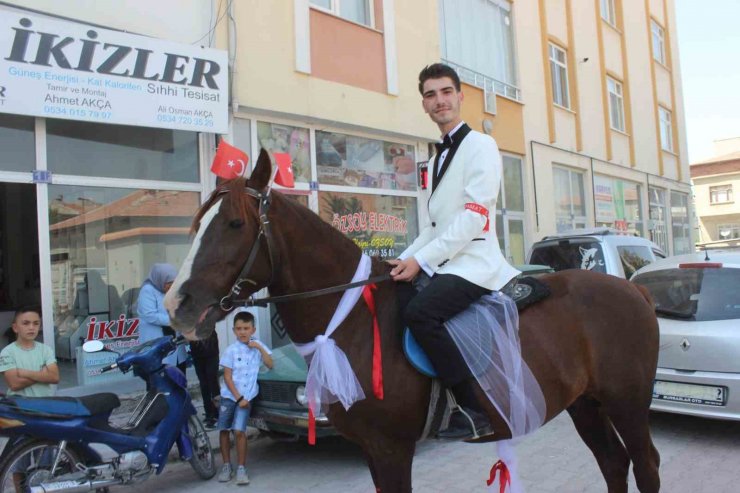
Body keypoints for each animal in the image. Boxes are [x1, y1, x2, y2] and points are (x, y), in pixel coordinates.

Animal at [165, 150, 660, 492]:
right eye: (196, 222)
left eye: (233, 223)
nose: (176, 304)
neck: (350, 321)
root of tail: (634, 288)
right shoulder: (372, 449)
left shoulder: (392, 447)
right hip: (586, 404)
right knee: (614, 463)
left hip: (628, 402)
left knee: (645, 464)